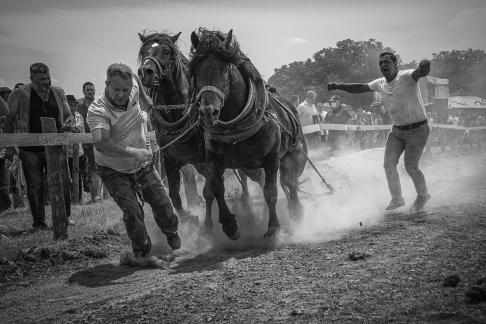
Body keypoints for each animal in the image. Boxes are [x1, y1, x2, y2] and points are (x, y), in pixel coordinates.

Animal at [137, 31, 266, 227]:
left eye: (166, 51)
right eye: (143, 51)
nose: (145, 72)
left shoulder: (207, 158)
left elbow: (209, 190)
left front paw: (208, 223)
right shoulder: (171, 160)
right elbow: (174, 196)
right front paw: (189, 220)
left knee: (251, 176)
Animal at [189, 29, 308, 239]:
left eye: (225, 69)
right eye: (196, 71)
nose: (208, 112)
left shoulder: (271, 159)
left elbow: (271, 192)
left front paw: (273, 227)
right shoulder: (213, 160)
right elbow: (216, 188)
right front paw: (230, 225)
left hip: (294, 156)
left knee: (291, 183)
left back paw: (295, 213)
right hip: (249, 167)